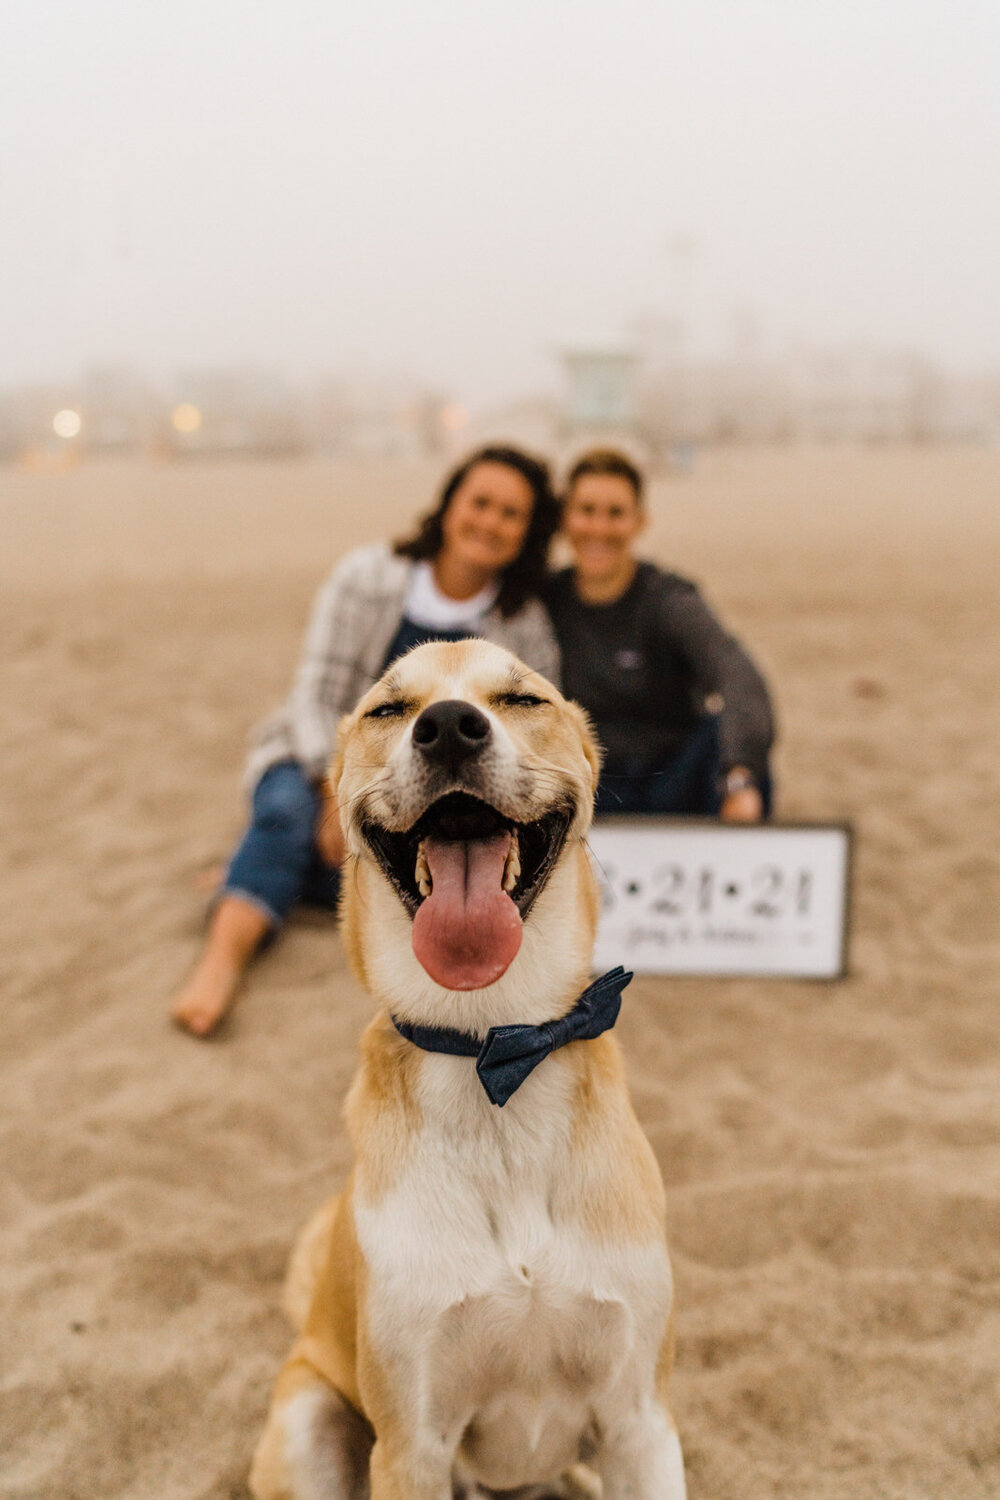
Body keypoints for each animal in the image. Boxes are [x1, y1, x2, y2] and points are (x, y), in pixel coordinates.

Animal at [250, 642, 689, 1500]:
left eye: (522, 700)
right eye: (388, 710)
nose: (450, 726)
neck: (493, 1047)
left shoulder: (640, 1421)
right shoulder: (412, 1444)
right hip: (309, 1423)